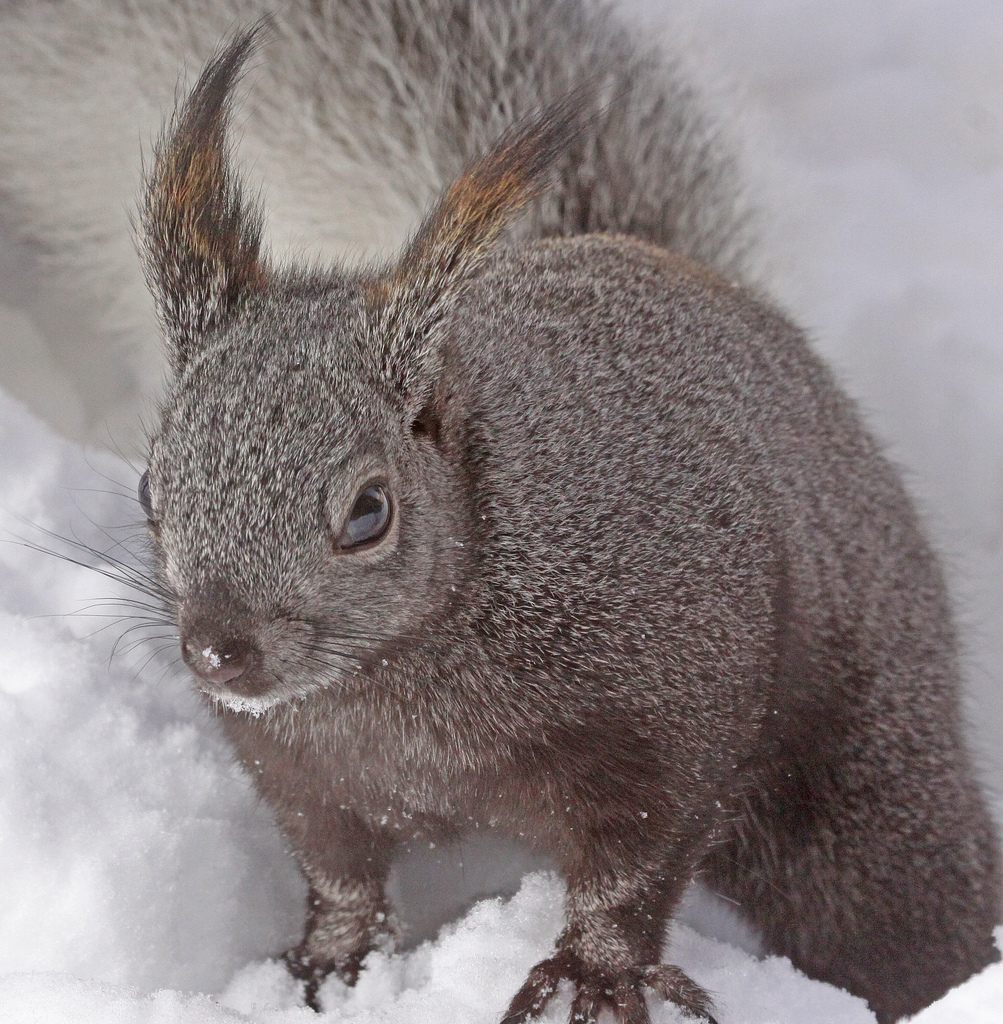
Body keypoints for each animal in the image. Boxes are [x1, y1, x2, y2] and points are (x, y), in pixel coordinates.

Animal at [127, 2, 1003, 1024]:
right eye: (149, 489)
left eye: (368, 512)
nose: (219, 651)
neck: (398, 692)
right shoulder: (300, 768)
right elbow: (339, 872)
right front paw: (326, 961)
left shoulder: (673, 711)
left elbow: (634, 867)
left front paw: (594, 971)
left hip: (866, 785)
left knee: (902, 906)